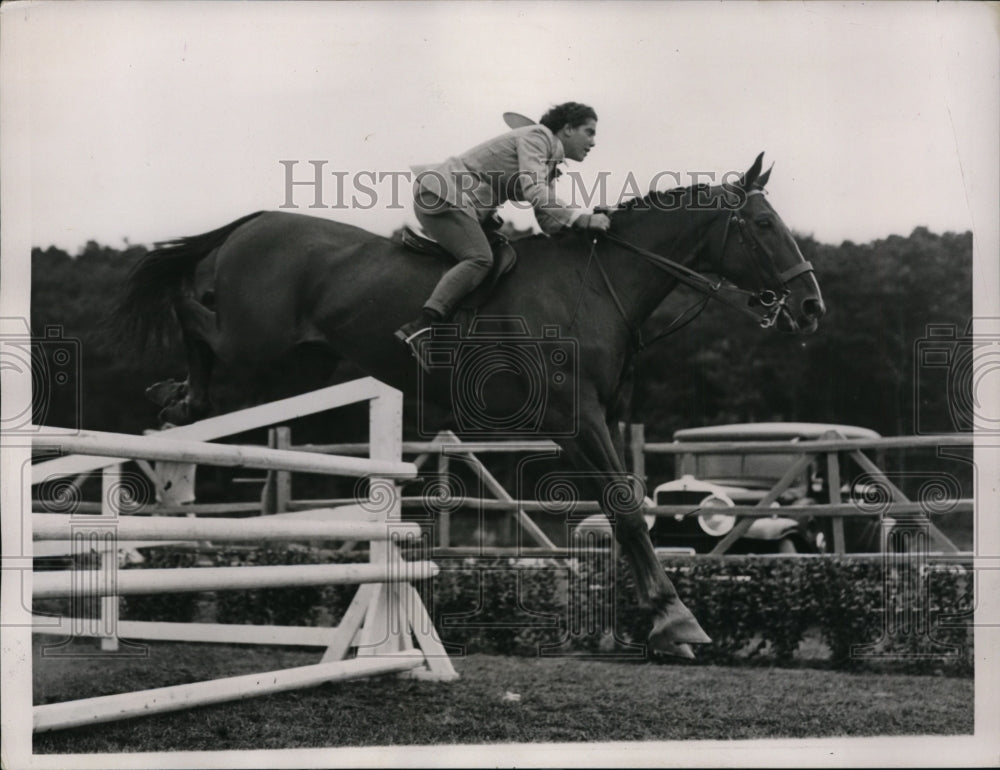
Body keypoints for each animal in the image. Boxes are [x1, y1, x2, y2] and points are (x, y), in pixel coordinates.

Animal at [111, 154, 828, 656]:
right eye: (765, 226)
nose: (811, 306)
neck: (600, 286)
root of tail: (255, 220)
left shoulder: (591, 422)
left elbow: (626, 511)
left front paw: (659, 618)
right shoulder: (578, 421)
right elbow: (625, 509)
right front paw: (677, 621)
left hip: (291, 361)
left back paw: (176, 405)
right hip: (255, 341)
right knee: (189, 310)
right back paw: (175, 396)